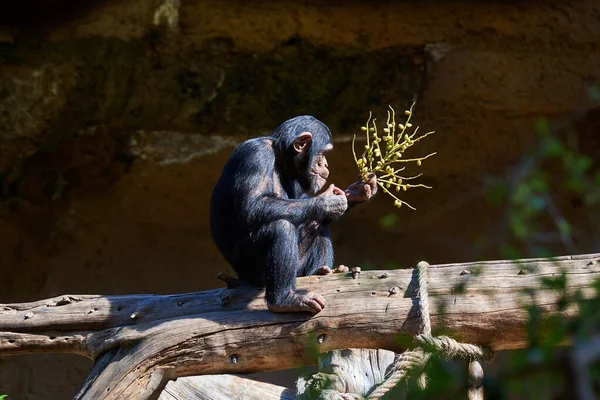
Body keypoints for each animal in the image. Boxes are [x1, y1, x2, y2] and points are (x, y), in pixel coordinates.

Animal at [210, 115, 376, 312]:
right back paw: (285, 299)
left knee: (317, 225)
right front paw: (327, 201)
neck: (279, 158)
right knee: (280, 227)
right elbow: (252, 206)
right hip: (250, 270)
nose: (326, 164)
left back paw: (323, 270)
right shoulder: (256, 155)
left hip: (299, 269)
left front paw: (355, 192)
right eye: (323, 153)